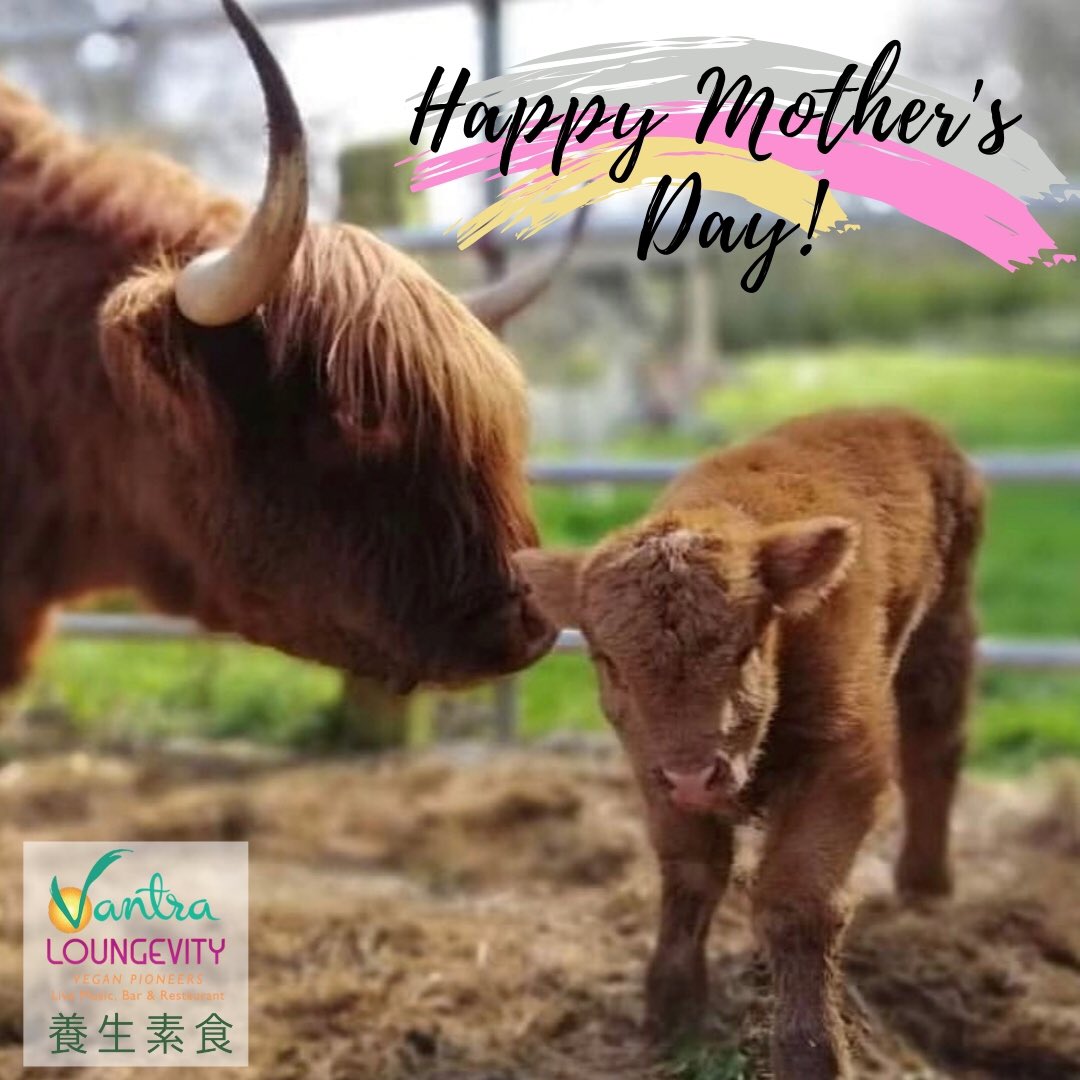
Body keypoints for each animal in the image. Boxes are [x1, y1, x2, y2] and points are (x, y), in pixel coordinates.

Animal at [514, 409, 985, 1079]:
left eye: (744, 648)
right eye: (608, 662)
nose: (693, 775)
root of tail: (895, 417)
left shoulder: (844, 764)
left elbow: (795, 902)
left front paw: (811, 1052)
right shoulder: (655, 777)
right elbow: (692, 875)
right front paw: (672, 1016)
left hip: (942, 634)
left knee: (934, 752)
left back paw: (926, 884)